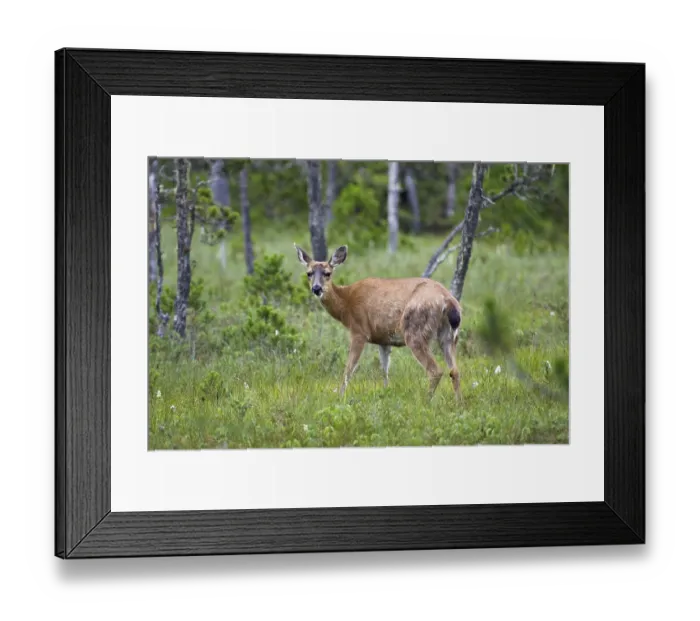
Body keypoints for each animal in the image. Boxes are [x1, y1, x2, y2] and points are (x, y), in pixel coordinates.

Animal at [294, 243, 463, 401]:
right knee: (454, 370)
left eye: (327, 273)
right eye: (309, 273)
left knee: (435, 371)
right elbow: (384, 370)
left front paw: (340, 396)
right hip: (449, 335)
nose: (316, 288)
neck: (346, 303)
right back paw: (458, 402)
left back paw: (426, 401)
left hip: (415, 330)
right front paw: (385, 392)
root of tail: (448, 301)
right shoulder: (383, 338)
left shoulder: (359, 331)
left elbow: (349, 368)